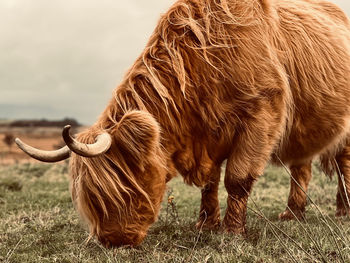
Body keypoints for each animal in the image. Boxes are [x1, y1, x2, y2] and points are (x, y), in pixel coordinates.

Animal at [15, 0, 350, 249]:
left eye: (122, 185)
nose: (113, 240)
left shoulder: (262, 113)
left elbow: (237, 178)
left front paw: (232, 232)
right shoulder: (208, 135)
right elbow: (210, 182)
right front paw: (206, 223)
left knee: (343, 164)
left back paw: (343, 210)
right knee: (301, 168)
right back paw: (292, 214)